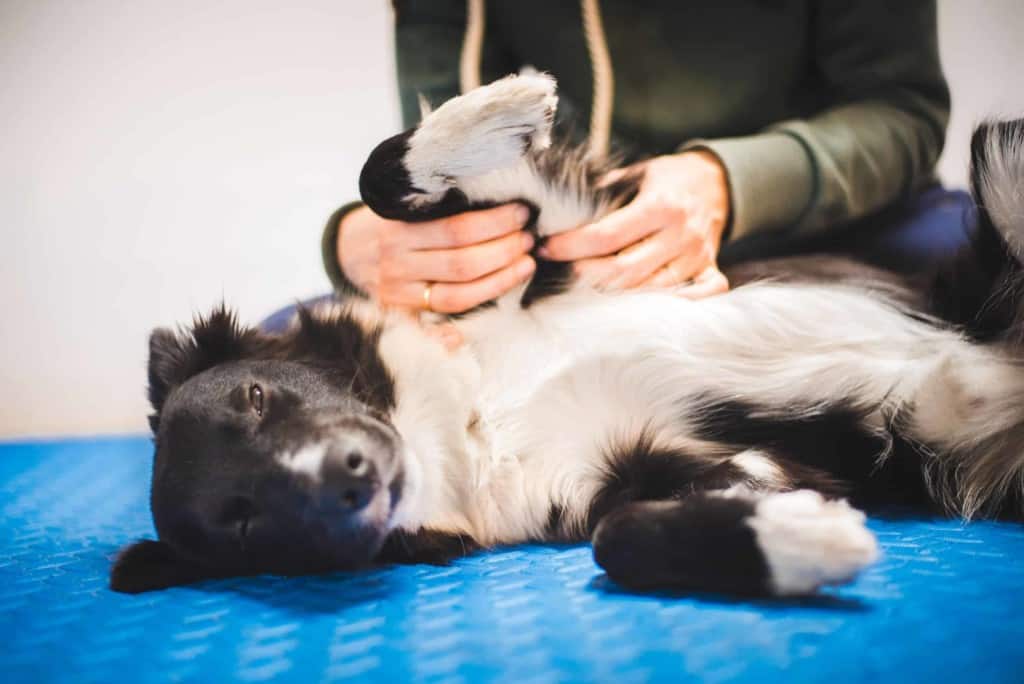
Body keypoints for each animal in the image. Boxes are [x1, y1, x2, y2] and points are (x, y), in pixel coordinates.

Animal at [112, 74, 1024, 593]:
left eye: (256, 396)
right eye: (243, 521)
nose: (348, 474)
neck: (477, 413)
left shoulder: (564, 235)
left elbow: (380, 173)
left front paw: (502, 104)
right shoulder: (668, 472)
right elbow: (620, 540)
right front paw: (798, 543)